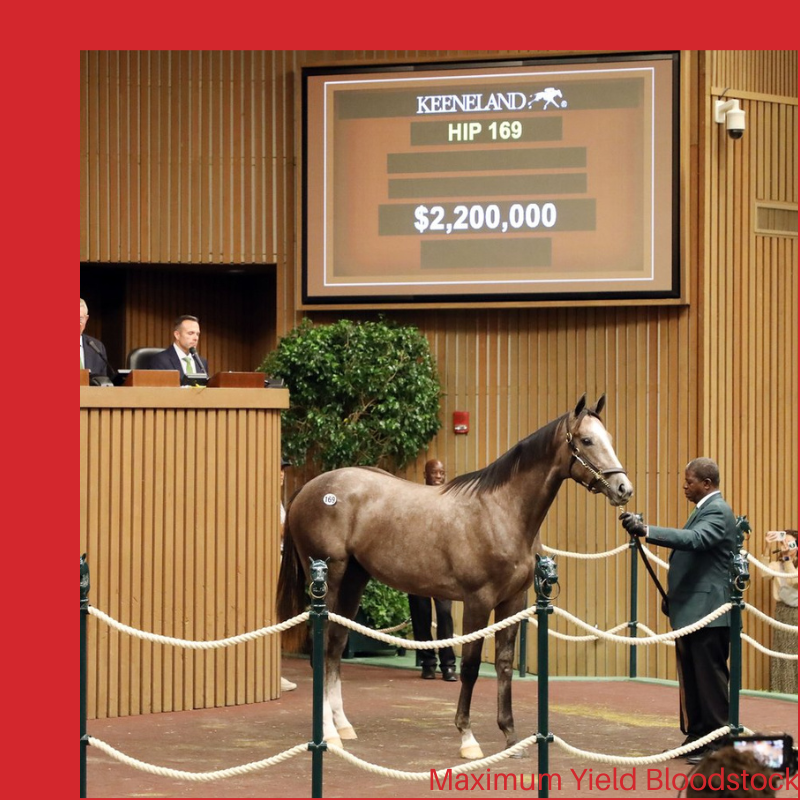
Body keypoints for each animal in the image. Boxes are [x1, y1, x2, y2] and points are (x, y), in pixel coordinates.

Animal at [276, 394, 633, 759]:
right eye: (587, 440)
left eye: (608, 438)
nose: (624, 488)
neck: (501, 512)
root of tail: (310, 487)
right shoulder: (478, 601)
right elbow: (472, 666)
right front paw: (468, 738)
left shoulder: (513, 601)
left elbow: (504, 663)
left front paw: (511, 738)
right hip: (330, 582)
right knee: (321, 649)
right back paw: (328, 733)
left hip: (353, 581)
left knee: (335, 646)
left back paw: (342, 726)